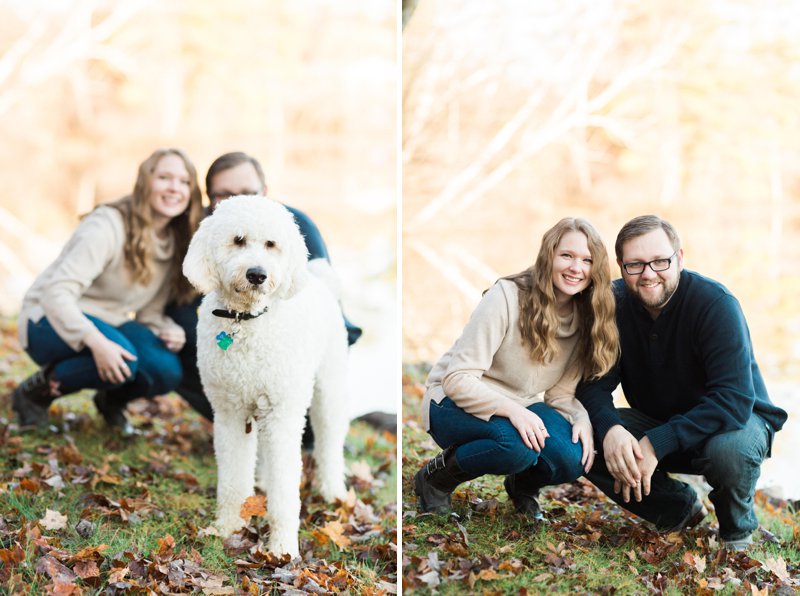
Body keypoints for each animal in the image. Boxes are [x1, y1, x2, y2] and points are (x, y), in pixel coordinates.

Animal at [186, 196, 352, 560]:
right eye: (238, 240)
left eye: (271, 244)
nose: (257, 274)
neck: (245, 320)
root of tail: (320, 279)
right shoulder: (230, 413)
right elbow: (233, 479)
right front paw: (228, 527)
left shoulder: (283, 415)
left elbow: (285, 491)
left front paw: (282, 548)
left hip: (328, 389)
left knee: (330, 440)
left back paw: (333, 490)